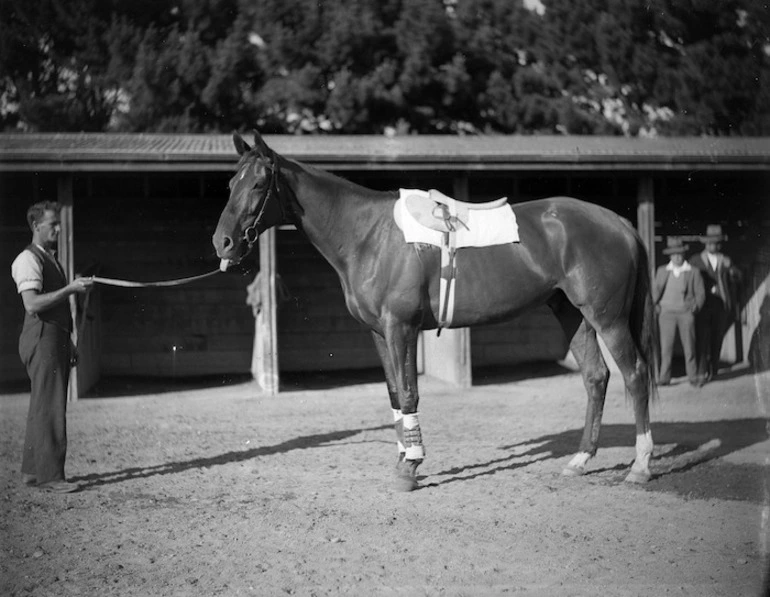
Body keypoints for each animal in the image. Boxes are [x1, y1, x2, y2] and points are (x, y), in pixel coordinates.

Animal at [213, 133, 656, 492]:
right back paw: (580, 460)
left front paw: (410, 468)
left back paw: (640, 467)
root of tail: (618, 221)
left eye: (257, 184)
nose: (223, 242)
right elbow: (395, 394)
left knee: (634, 374)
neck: (368, 235)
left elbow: (410, 392)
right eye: (231, 183)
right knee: (596, 377)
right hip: (572, 313)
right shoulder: (378, 332)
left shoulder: (401, 328)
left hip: (607, 318)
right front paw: (402, 458)